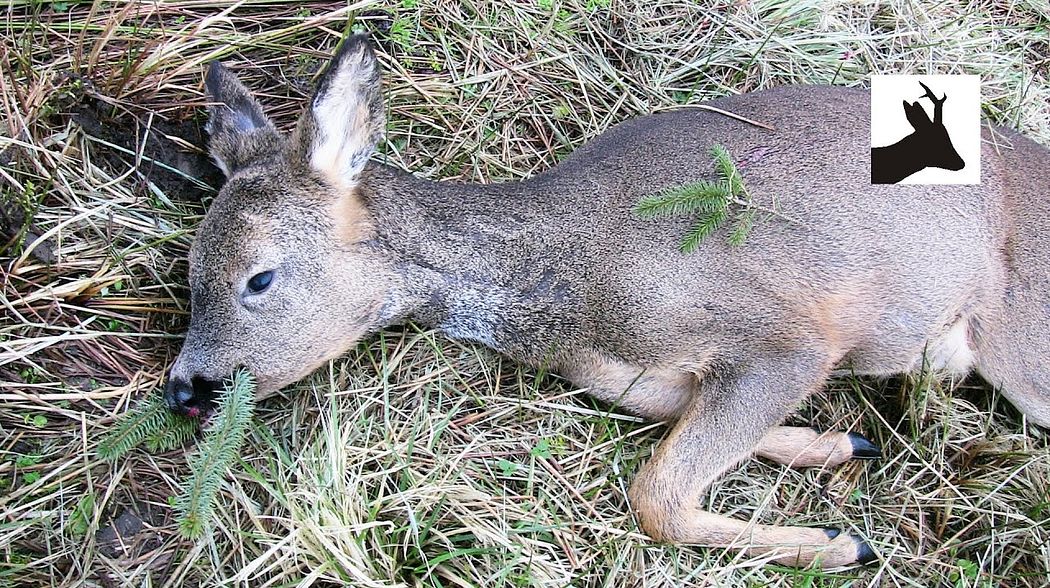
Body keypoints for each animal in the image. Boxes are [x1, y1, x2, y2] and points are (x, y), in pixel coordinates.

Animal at [163, 34, 1050, 567]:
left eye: (259, 278)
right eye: (191, 270)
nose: (184, 389)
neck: (568, 290)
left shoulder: (785, 335)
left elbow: (656, 497)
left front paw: (839, 544)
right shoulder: (640, 378)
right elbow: (683, 442)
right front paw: (831, 448)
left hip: (1026, 349)